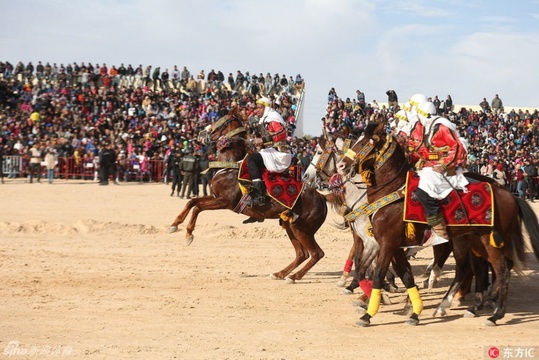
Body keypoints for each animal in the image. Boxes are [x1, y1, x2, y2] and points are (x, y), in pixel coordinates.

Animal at [169, 112, 330, 282]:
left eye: (220, 120)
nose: (200, 133)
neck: (230, 167)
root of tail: (322, 198)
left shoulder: (224, 202)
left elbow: (198, 208)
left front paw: (188, 234)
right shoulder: (215, 196)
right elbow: (192, 202)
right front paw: (175, 225)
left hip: (301, 228)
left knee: (316, 253)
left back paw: (294, 277)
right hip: (290, 226)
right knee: (302, 254)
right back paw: (280, 274)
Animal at [336, 121, 539, 326]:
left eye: (365, 143)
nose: (341, 165)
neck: (391, 192)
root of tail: (509, 194)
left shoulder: (386, 243)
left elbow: (376, 274)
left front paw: (368, 314)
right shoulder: (394, 246)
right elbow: (405, 276)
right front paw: (414, 311)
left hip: (488, 242)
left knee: (501, 270)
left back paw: (495, 313)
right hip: (470, 241)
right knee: (470, 268)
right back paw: (461, 305)